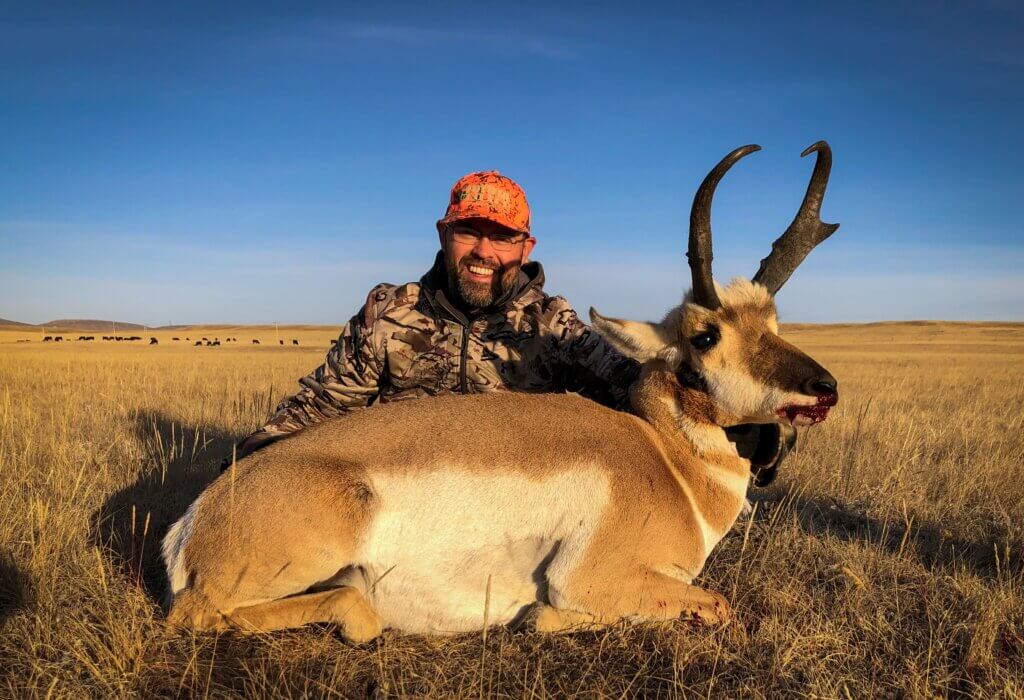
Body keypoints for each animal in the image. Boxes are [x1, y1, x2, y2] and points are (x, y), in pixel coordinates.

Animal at [163, 142, 841, 641]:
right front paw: (538, 614)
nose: (825, 388)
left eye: (773, 322)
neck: (668, 461)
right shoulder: (593, 576)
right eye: (705, 335)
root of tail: (195, 519)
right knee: (204, 613)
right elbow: (714, 603)